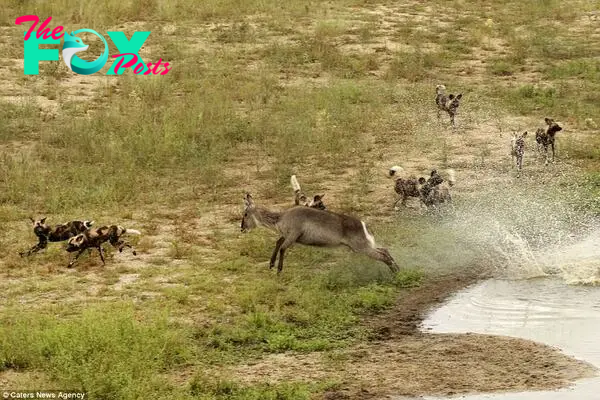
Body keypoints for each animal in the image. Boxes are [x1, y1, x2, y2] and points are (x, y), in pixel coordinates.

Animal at [239, 194, 398, 276]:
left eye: (245, 214)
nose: (242, 228)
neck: (280, 218)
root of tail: (363, 225)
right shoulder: (287, 235)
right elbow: (278, 243)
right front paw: (271, 264)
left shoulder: (293, 235)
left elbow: (283, 248)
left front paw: (279, 270)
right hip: (362, 246)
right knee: (385, 250)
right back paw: (397, 270)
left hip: (361, 247)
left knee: (383, 255)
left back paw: (396, 273)